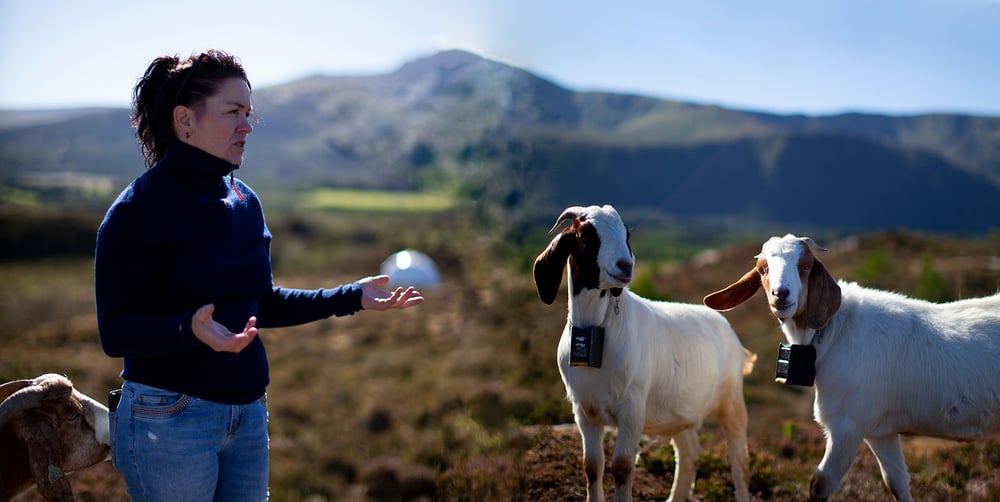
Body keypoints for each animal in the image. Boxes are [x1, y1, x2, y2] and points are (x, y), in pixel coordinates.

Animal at [532, 205, 752, 502]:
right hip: (680, 411)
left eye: (626, 234)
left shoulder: (632, 409)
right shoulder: (585, 410)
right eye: (587, 235)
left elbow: (622, 466)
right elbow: (592, 466)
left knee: (739, 459)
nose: (626, 266)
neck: (598, 329)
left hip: (731, 402)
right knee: (688, 451)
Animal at [704, 235, 1000, 502]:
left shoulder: (847, 425)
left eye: (806, 266)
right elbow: (896, 483)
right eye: (763, 268)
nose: (781, 294)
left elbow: (820, 483)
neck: (835, 331)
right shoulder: (881, 432)